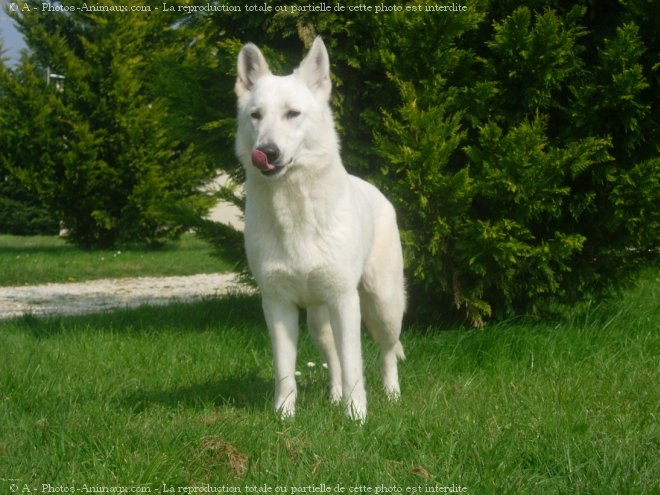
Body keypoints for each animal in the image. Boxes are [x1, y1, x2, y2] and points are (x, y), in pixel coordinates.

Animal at [235, 36, 404, 422]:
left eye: (292, 114)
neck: (295, 211)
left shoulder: (345, 301)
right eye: (256, 116)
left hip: (383, 305)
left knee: (387, 352)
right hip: (317, 322)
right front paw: (284, 416)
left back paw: (391, 394)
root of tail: (378, 193)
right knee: (334, 361)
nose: (266, 152)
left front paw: (356, 417)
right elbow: (285, 370)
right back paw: (335, 396)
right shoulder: (277, 305)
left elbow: (356, 364)